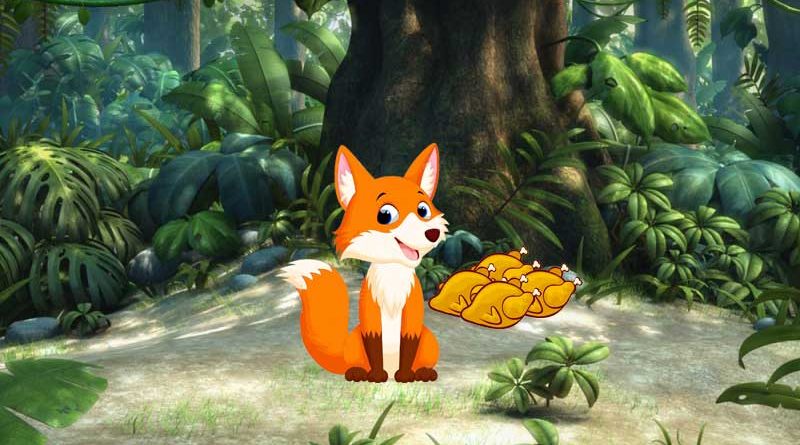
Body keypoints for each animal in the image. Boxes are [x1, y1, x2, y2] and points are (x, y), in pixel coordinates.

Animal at [278, 144, 448, 383]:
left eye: (423, 210)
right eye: (385, 214)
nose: (432, 233)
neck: (392, 276)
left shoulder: (412, 318)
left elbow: (408, 346)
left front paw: (406, 376)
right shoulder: (371, 318)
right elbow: (374, 346)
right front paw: (376, 376)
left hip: (429, 341)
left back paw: (420, 372)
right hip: (355, 343)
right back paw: (360, 373)